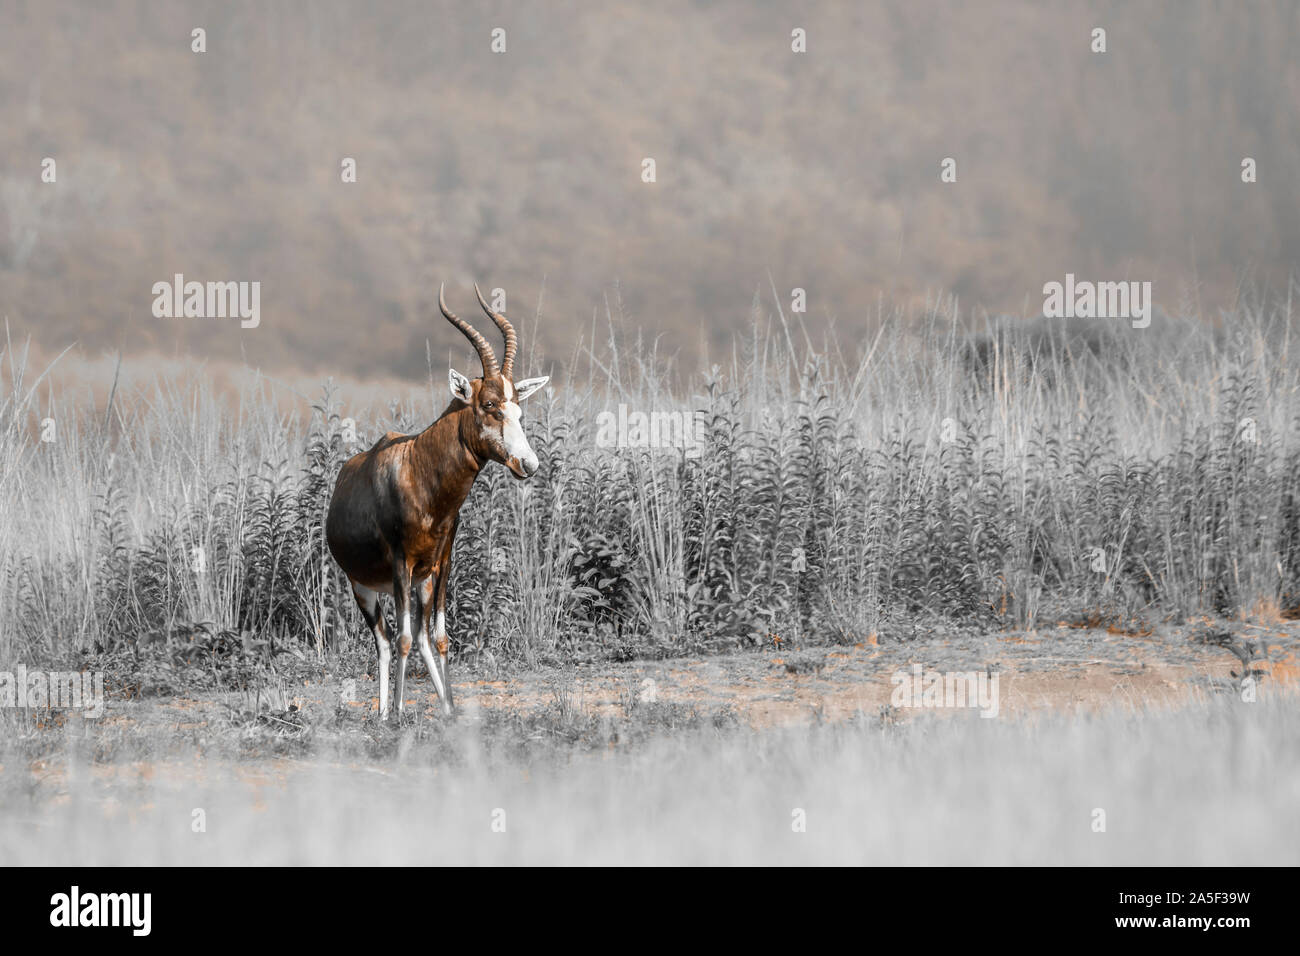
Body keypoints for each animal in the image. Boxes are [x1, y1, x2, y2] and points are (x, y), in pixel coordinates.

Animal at [327, 283, 551, 717]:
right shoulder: (401, 563)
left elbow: (441, 636)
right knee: (385, 639)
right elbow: (402, 639)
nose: (528, 463)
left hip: (422, 581)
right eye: (489, 405)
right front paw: (399, 714)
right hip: (364, 585)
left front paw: (450, 710)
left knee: (420, 634)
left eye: (518, 407)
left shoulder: (442, 562)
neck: (418, 468)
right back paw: (384, 713)